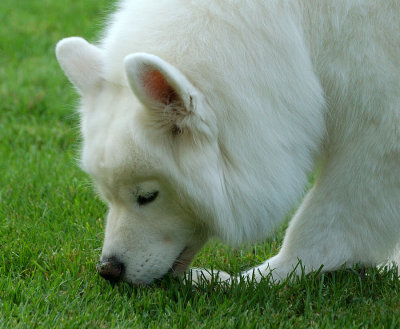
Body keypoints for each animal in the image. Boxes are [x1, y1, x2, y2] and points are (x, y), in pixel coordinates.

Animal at [56, 0, 400, 284]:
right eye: (107, 196)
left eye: (147, 196)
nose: (108, 270)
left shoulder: (378, 135)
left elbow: (323, 228)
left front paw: (247, 280)